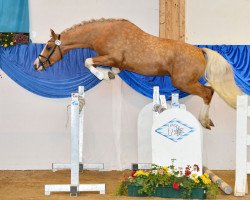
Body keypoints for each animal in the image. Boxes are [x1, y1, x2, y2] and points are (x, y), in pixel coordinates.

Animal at [33, 18, 242, 129]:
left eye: (49, 46)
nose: (36, 65)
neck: (104, 32)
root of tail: (199, 50)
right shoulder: (118, 63)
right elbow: (114, 70)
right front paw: (109, 75)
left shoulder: (110, 57)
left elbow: (88, 61)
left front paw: (102, 76)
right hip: (187, 82)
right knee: (209, 90)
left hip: (183, 83)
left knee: (208, 93)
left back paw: (204, 121)